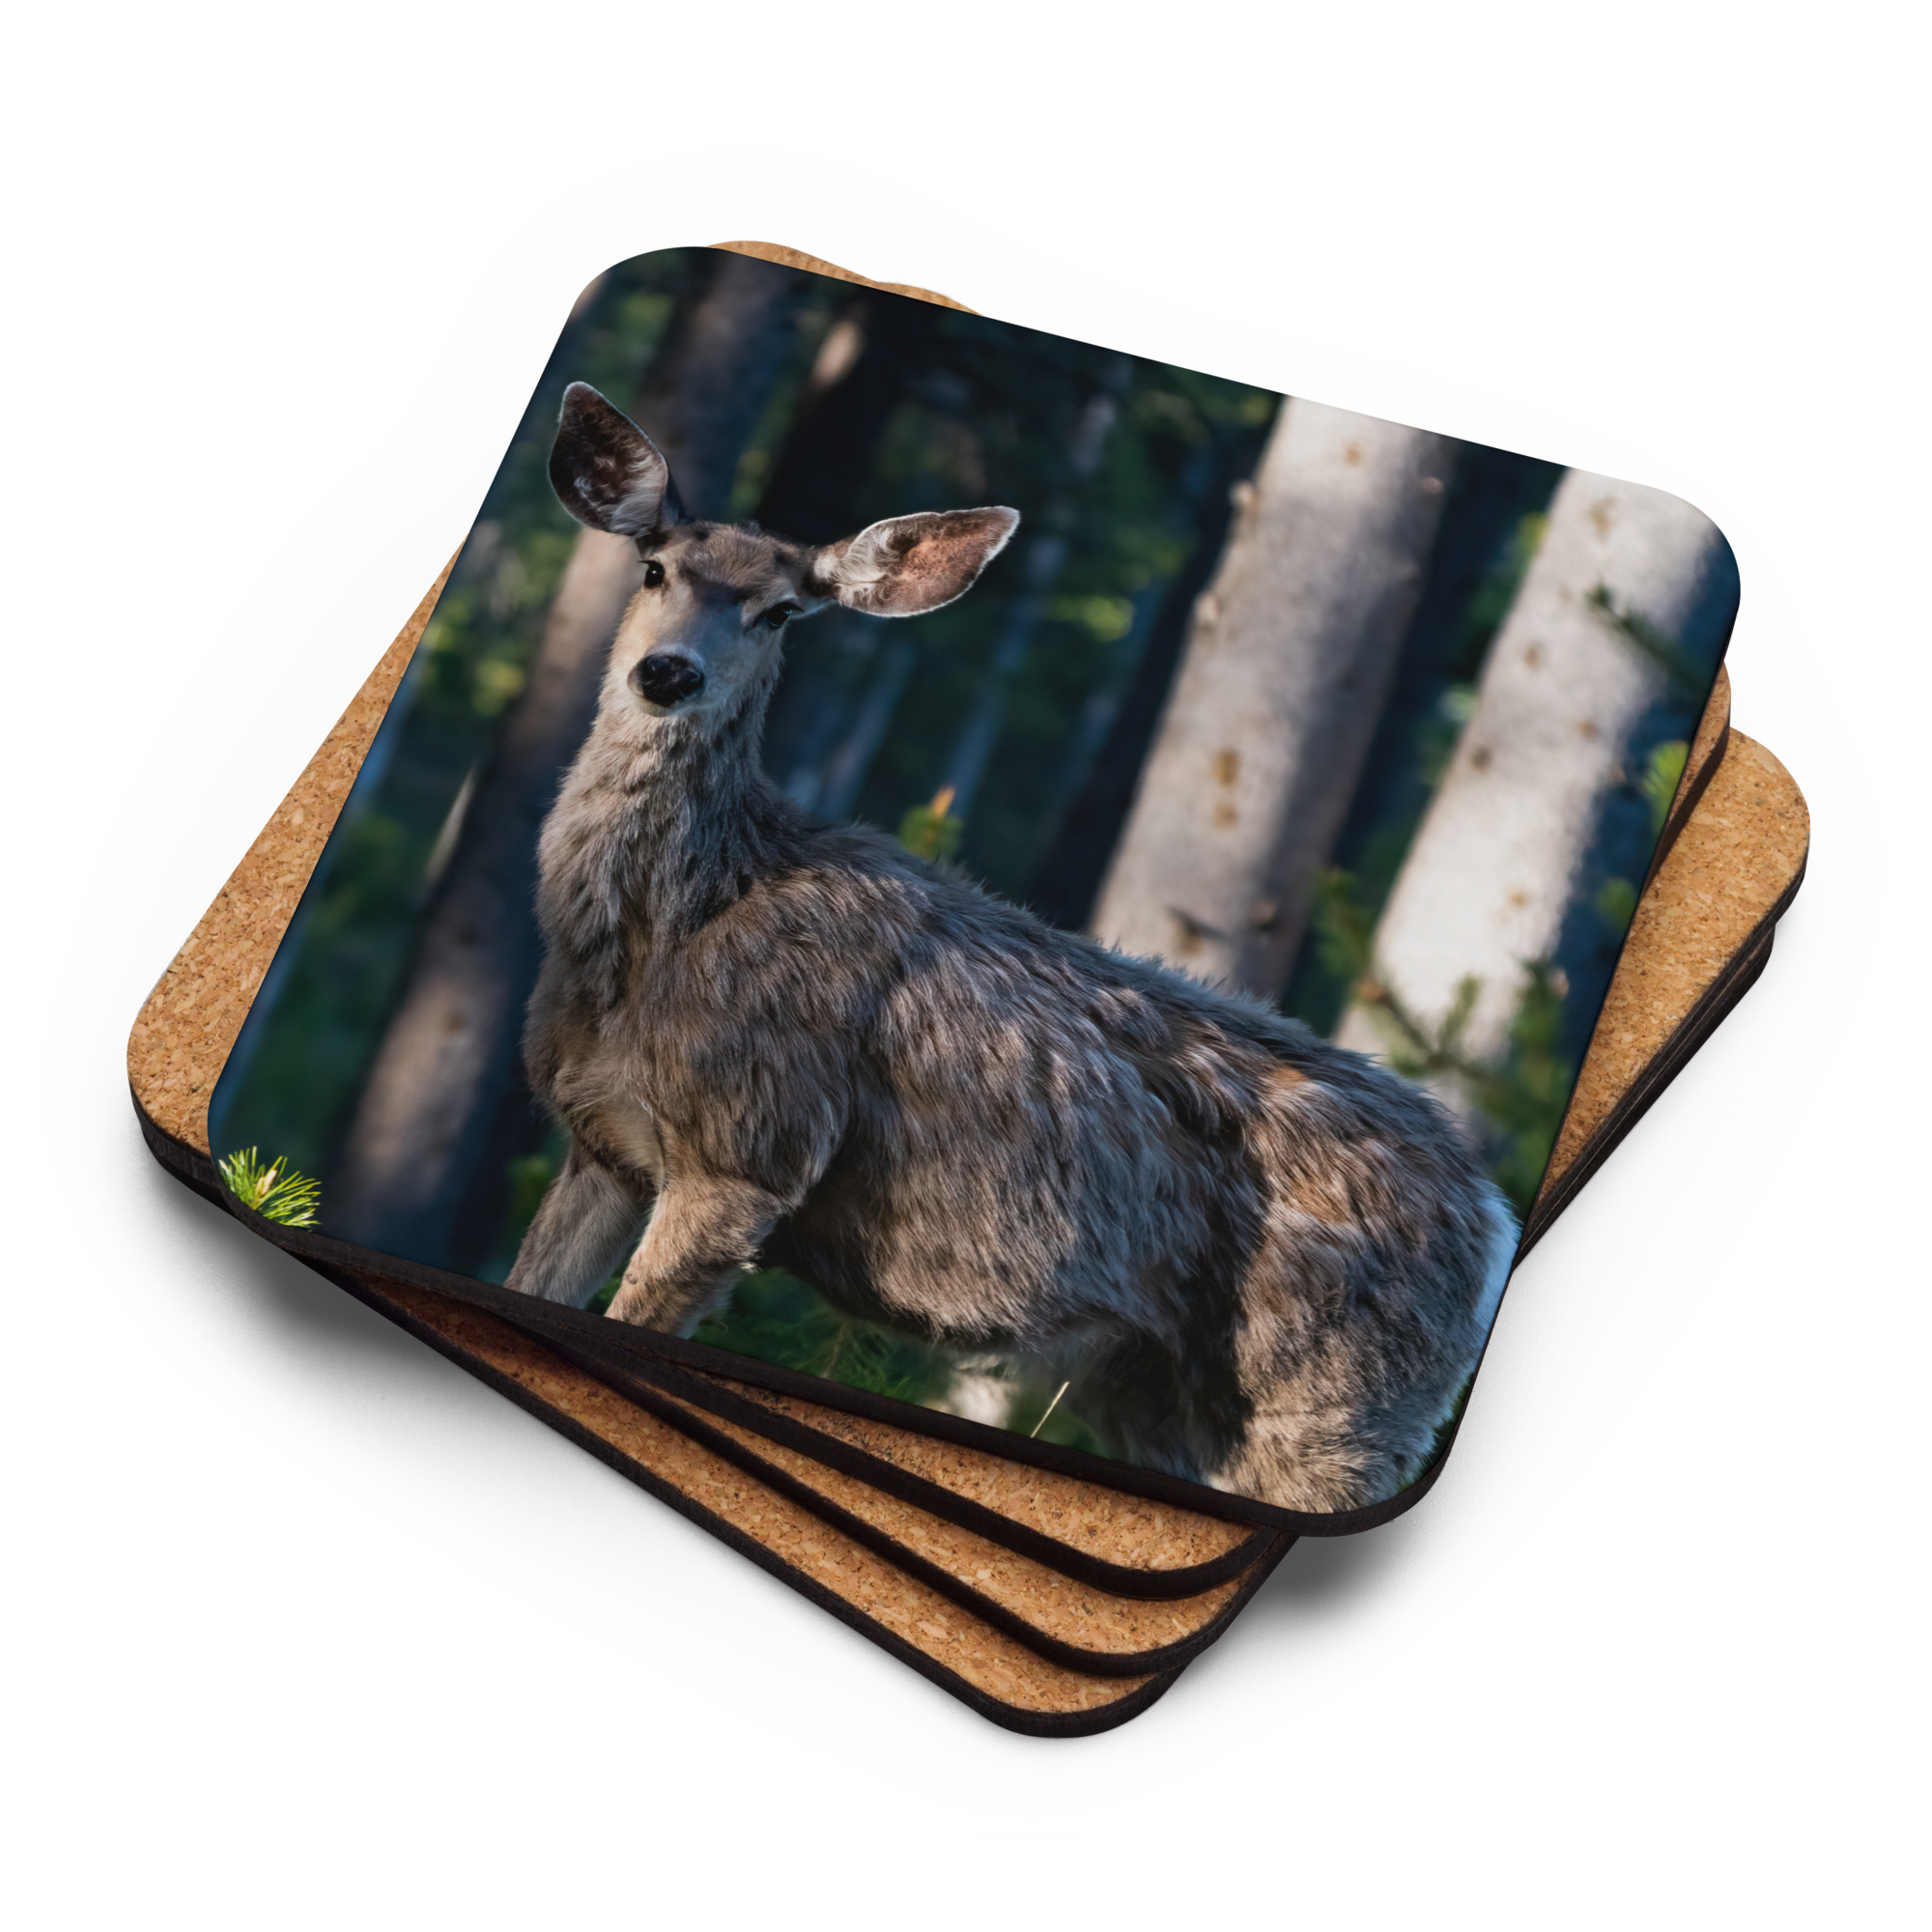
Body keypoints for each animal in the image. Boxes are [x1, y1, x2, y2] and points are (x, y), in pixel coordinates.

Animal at [505, 381, 1518, 1513]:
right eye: (654, 568)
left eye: (778, 611)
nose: (668, 672)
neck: (660, 929)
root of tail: (1494, 1225)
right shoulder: (601, 1143)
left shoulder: (750, 1151)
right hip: (1162, 1392)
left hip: (1329, 1408)